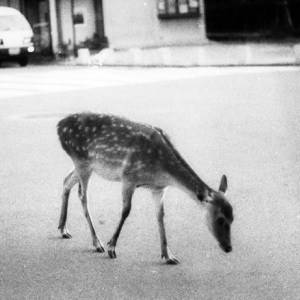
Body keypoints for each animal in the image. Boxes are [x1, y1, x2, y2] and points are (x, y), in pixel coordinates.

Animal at [56, 111, 234, 264]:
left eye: (233, 218)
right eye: (219, 219)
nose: (229, 247)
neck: (162, 170)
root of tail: (59, 126)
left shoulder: (158, 188)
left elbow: (160, 216)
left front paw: (168, 255)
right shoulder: (128, 176)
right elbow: (126, 211)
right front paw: (112, 247)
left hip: (86, 165)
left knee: (66, 180)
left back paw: (63, 229)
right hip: (82, 160)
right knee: (82, 195)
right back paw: (97, 242)